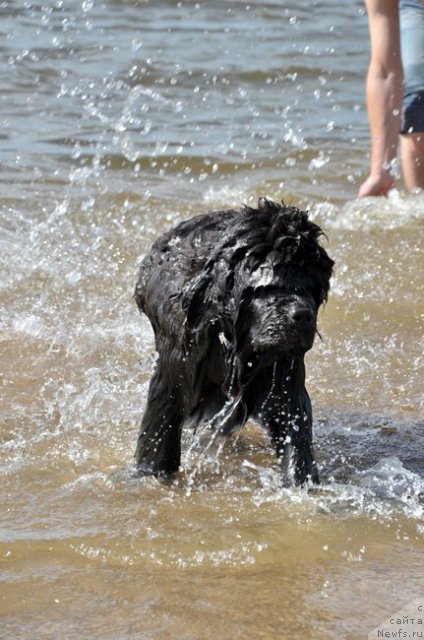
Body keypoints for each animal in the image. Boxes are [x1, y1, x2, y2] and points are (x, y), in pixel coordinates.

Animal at [134, 199, 332, 484]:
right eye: (269, 286)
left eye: (312, 288)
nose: (303, 315)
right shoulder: (176, 367)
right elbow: (159, 433)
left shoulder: (285, 375)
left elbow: (295, 434)